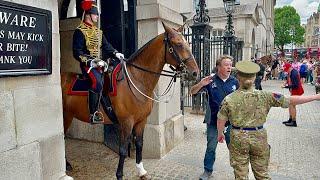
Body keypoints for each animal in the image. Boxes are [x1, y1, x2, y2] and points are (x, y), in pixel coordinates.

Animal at [60, 22, 198, 179]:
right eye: (178, 44)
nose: (195, 72)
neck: (137, 80)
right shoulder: (126, 122)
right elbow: (123, 149)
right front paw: (119, 175)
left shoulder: (141, 121)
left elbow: (139, 144)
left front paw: (141, 170)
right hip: (65, 116)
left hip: (69, 115)